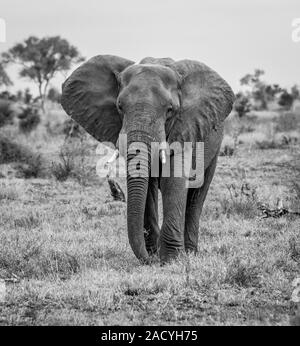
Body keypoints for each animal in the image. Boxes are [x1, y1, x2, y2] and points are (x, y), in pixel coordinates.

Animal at [61, 55, 234, 264]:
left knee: (197, 194)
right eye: (119, 107)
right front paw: (154, 254)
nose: (150, 259)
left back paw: (190, 252)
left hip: (214, 146)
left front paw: (171, 260)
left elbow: (173, 180)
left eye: (170, 110)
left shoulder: (185, 127)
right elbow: (148, 187)